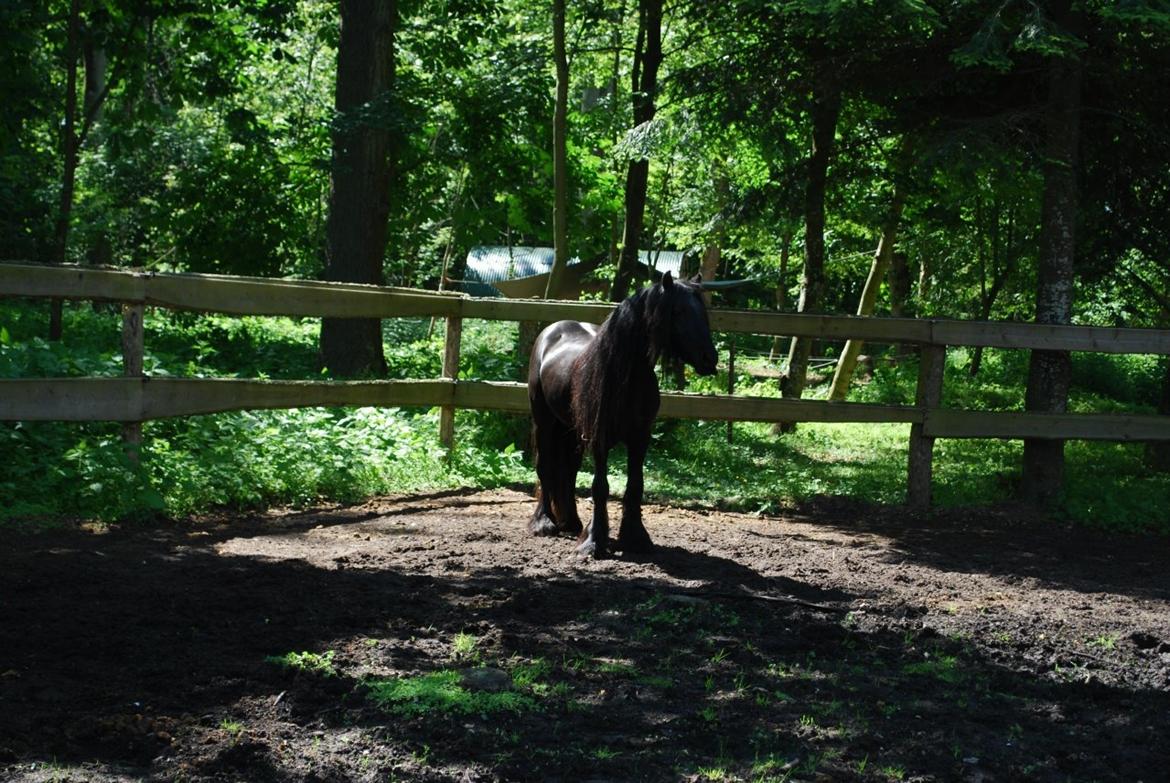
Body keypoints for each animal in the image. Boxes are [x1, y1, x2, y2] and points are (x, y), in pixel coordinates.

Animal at [528, 271, 711, 559]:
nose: (710, 359)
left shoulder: (640, 437)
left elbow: (635, 486)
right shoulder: (599, 439)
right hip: (544, 422)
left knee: (569, 471)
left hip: (570, 431)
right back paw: (544, 523)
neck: (627, 377)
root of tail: (552, 331)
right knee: (545, 466)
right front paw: (594, 541)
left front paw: (635, 538)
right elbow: (600, 486)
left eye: (703, 311)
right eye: (678, 311)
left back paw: (572, 522)